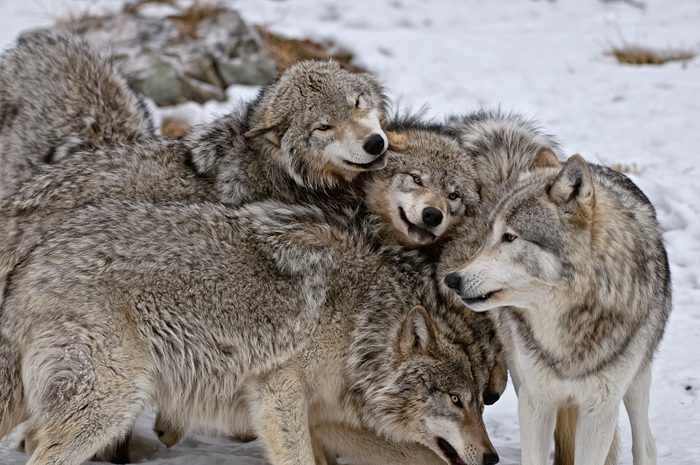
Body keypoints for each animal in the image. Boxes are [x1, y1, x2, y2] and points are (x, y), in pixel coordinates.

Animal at [0, 199, 501, 465]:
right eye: (455, 401)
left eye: (479, 404)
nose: (493, 457)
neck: (358, 324)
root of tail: (27, 268)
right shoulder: (278, 393)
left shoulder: (324, 417)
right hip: (110, 405)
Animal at [443, 154, 671, 465]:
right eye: (488, 235)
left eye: (510, 237)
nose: (452, 280)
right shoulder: (536, 403)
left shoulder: (599, 411)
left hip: (636, 380)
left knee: (646, 444)